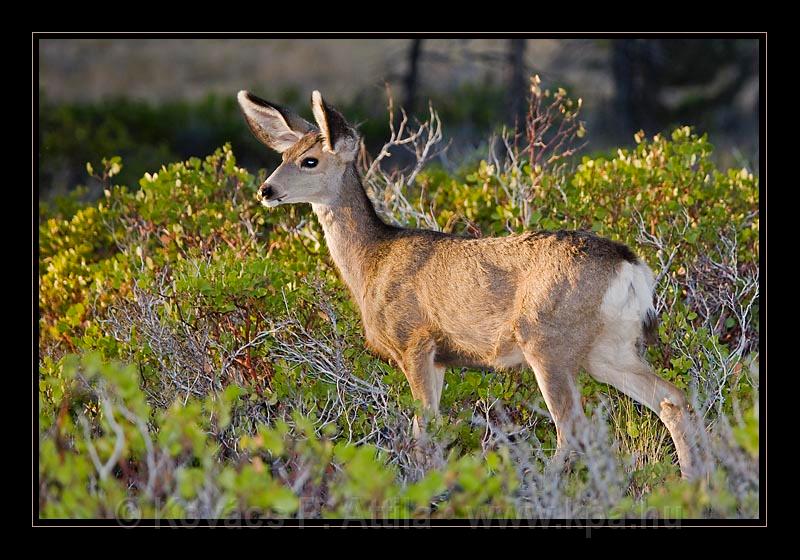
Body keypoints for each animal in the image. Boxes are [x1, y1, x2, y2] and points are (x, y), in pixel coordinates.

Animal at [239, 89, 700, 480]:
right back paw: (695, 481)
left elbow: (424, 428)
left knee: (572, 428)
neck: (373, 260)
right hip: (608, 348)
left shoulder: (414, 339)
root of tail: (631, 266)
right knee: (671, 399)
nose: (266, 190)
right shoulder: (441, 359)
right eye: (284, 154)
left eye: (310, 161)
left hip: (547, 339)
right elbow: (426, 427)